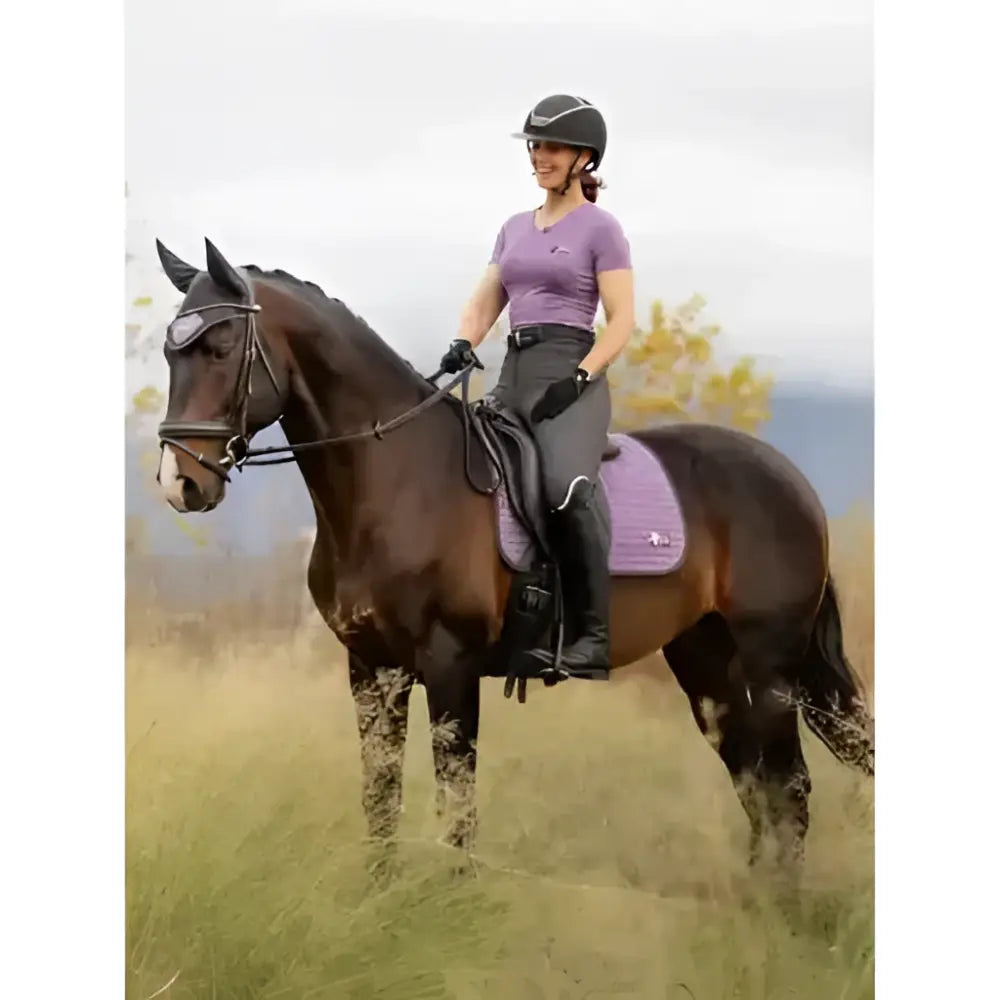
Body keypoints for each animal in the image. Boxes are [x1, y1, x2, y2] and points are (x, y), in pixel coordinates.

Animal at [152, 237, 874, 877]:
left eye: (220, 347)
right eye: (169, 352)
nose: (179, 483)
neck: (397, 480)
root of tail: (792, 480)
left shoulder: (450, 666)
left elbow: (457, 809)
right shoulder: (372, 669)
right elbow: (381, 800)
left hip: (769, 666)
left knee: (790, 787)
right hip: (708, 664)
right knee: (757, 785)